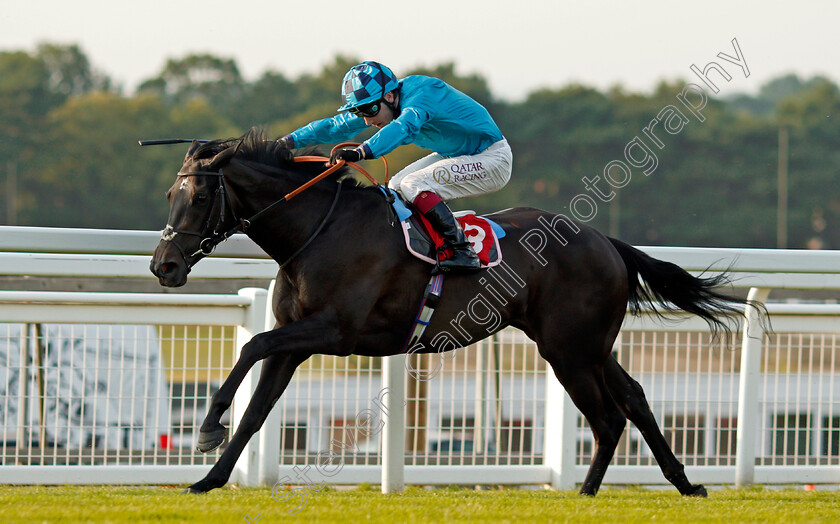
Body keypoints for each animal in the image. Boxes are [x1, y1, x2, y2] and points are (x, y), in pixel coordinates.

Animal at [151, 127, 748, 496]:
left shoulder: (332, 331)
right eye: (169, 197)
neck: (318, 231)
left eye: (199, 198)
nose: (164, 265)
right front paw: (207, 478)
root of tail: (605, 240)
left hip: (569, 351)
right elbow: (256, 409)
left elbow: (251, 345)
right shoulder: (295, 338)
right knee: (635, 399)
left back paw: (587, 491)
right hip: (590, 347)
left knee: (608, 417)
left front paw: (207, 428)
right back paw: (684, 482)